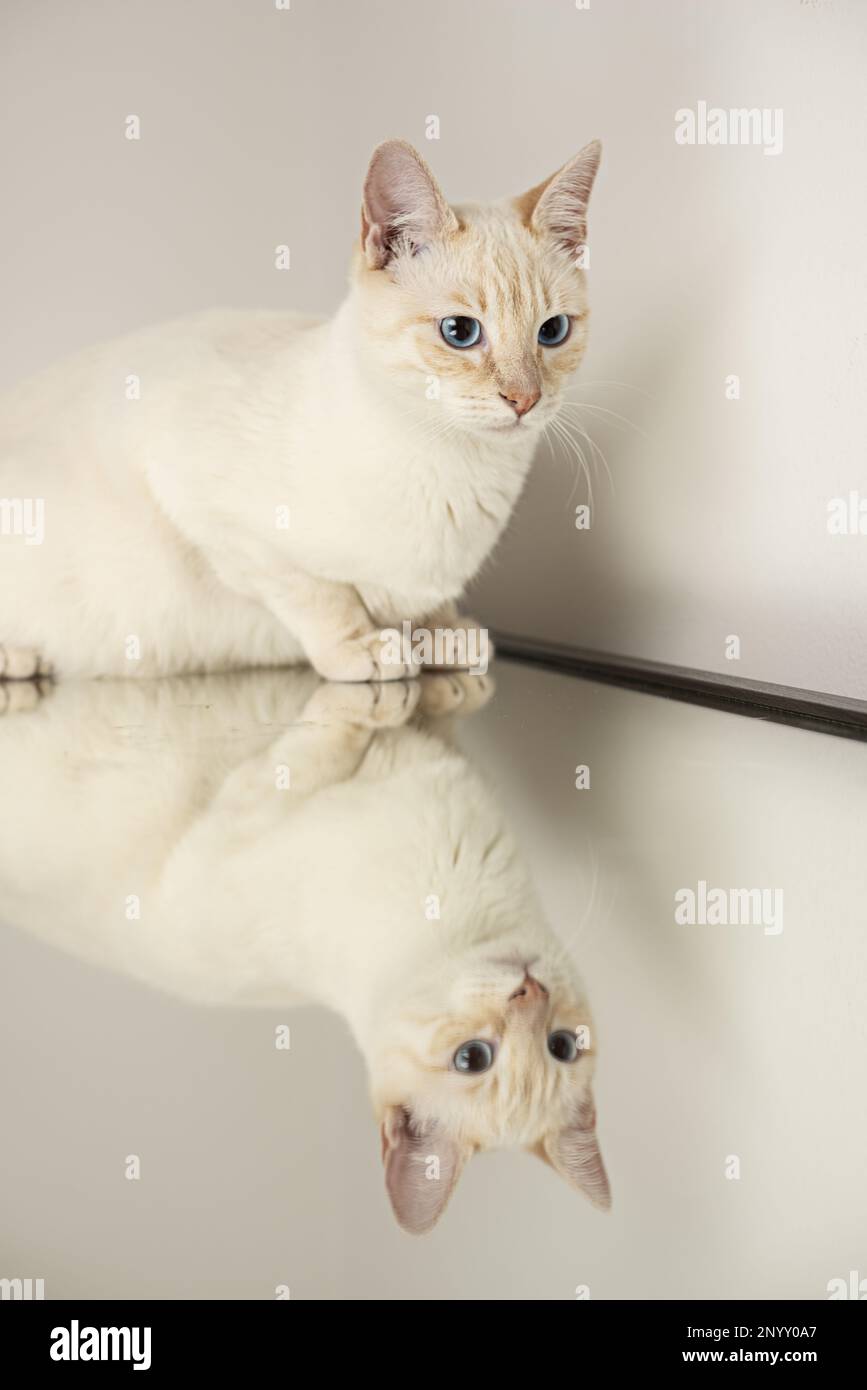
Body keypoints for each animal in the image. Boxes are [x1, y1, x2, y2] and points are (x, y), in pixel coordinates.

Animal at [0, 138, 600, 681]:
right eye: (460, 332)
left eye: (552, 331)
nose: (525, 400)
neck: (457, 468)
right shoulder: (207, 510)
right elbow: (321, 596)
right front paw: (365, 648)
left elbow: (424, 607)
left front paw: (444, 635)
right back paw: (18, 661)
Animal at [0, 678, 608, 1234]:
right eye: (474, 1058)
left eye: (558, 1046)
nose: (531, 990)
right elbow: (399, 713)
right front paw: (428, 679)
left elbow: (336, 732)